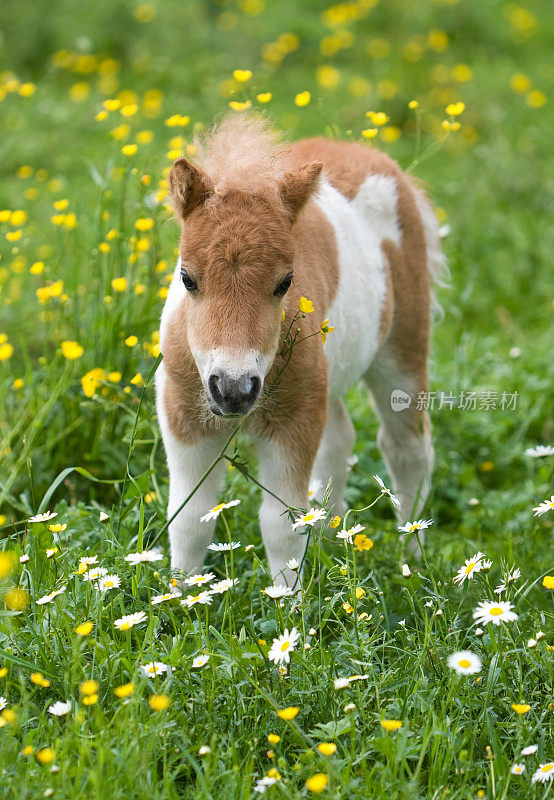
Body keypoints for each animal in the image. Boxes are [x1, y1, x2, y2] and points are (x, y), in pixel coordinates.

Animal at [156, 112, 444, 584]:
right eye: (187, 278)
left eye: (286, 282)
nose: (233, 390)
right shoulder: (183, 414)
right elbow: (188, 518)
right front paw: (179, 596)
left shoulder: (294, 421)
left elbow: (282, 525)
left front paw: (287, 601)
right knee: (340, 439)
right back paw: (333, 540)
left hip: (401, 349)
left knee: (408, 447)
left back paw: (414, 561)